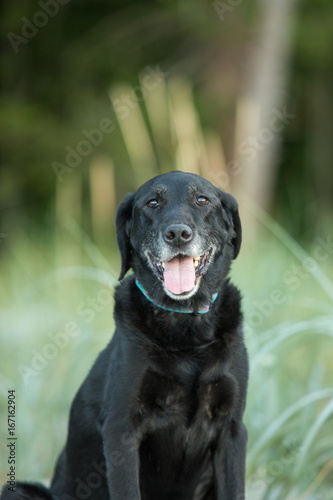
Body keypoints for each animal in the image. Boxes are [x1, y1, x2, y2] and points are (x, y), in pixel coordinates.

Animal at [1, 172, 246, 500]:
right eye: (152, 202)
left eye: (202, 200)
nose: (177, 234)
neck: (185, 329)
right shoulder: (122, 430)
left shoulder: (231, 428)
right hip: (18, 490)